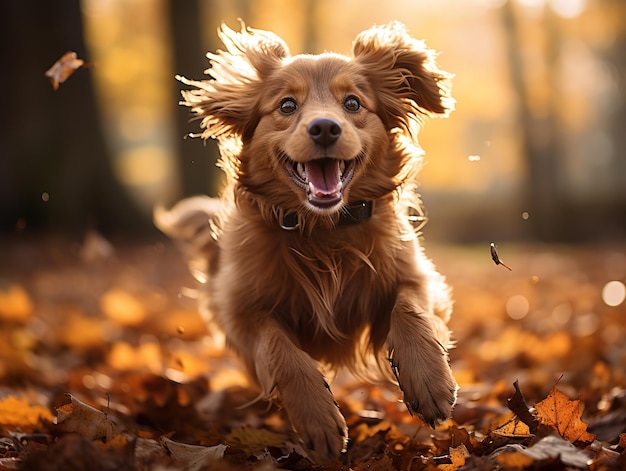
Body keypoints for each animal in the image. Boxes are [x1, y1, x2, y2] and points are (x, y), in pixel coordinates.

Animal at [155, 21, 458, 460]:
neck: (323, 231)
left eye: (352, 103)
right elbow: (282, 353)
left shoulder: (414, 275)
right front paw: (318, 418)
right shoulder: (240, 311)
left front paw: (430, 382)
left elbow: (410, 310)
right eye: (286, 106)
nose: (325, 127)